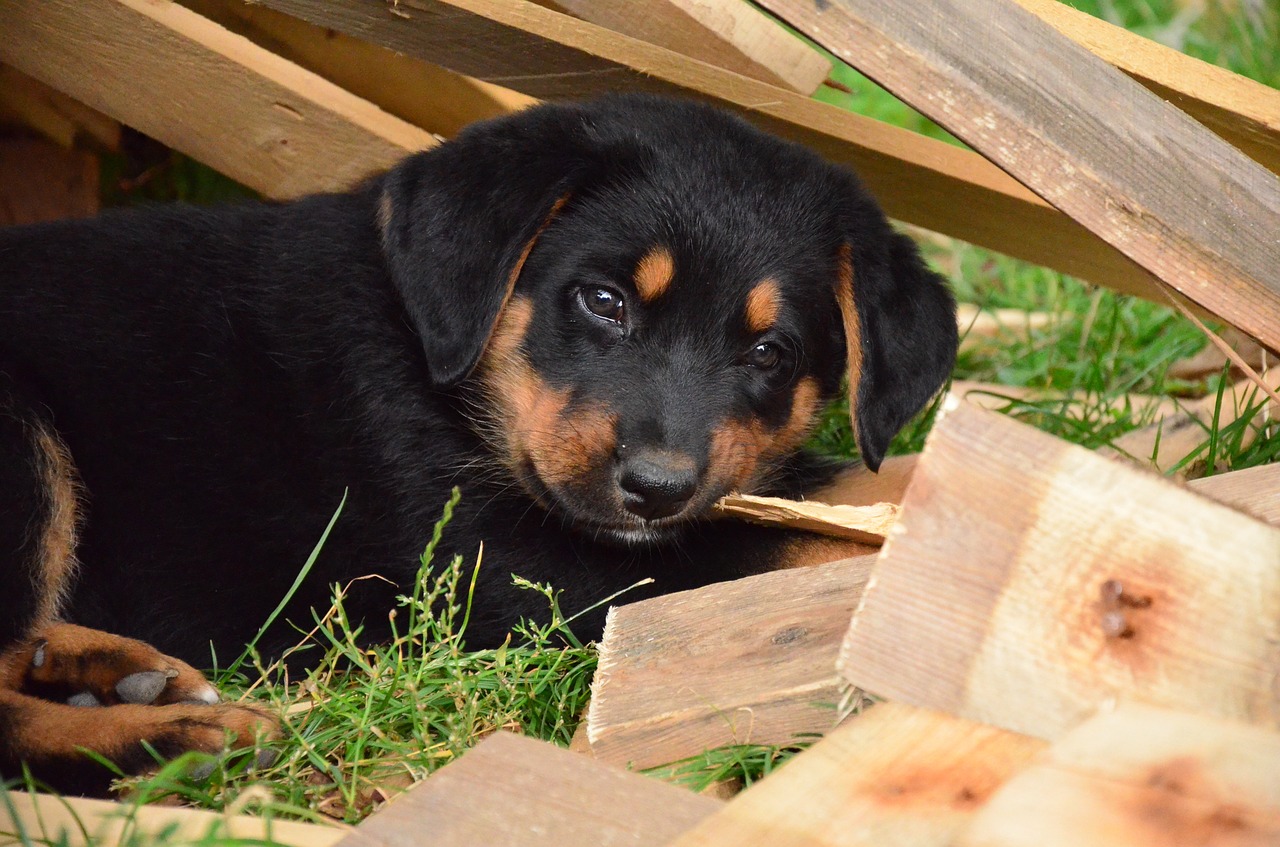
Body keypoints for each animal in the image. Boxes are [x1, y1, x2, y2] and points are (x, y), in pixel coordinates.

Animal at [0, 95, 957, 793]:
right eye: (603, 301)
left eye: (769, 353)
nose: (657, 488)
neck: (442, 365)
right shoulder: (506, 565)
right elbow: (784, 551)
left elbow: (835, 499)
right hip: (25, 443)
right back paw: (182, 736)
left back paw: (109, 670)